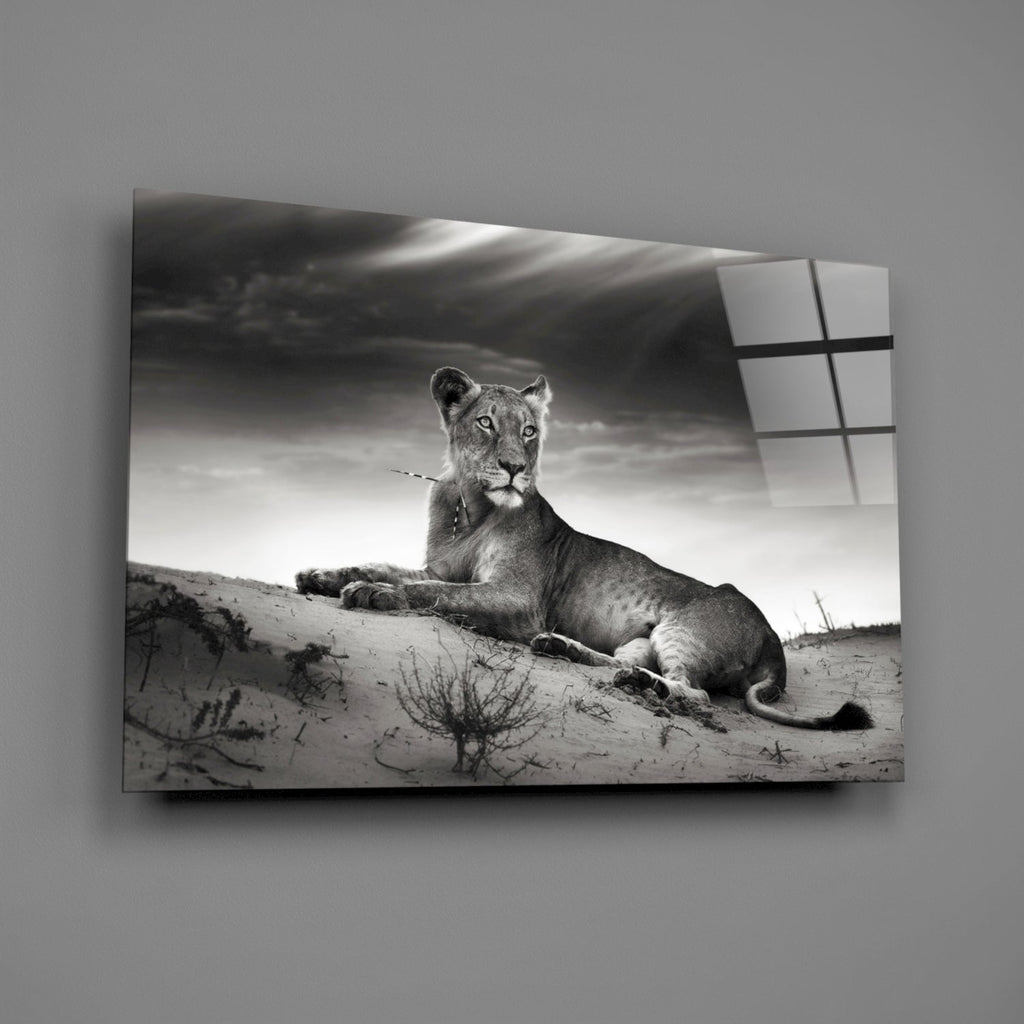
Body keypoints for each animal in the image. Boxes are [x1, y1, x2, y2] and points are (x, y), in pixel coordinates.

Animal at [297, 367, 872, 731]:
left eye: (530, 431)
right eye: (486, 422)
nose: (515, 468)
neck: (472, 508)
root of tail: (774, 640)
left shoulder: (518, 599)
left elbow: (435, 594)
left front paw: (372, 594)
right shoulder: (440, 567)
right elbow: (389, 567)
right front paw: (321, 576)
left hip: (683, 631)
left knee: (696, 693)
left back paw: (641, 685)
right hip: (641, 639)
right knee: (620, 662)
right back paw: (565, 650)